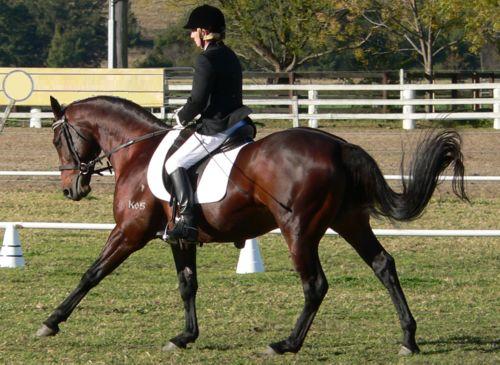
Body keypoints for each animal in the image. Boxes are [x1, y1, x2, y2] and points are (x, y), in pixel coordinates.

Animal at [36, 95, 468, 354]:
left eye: (58, 141)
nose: (71, 189)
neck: (139, 152)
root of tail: (338, 145)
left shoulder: (130, 232)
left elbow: (92, 274)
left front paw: (51, 322)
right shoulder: (179, 238)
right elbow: (187, 285)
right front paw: (185, 337)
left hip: (299, 230)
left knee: (315, 285)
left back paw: (286, 344)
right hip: (349, 221)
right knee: (383, 266)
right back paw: (408, 339)